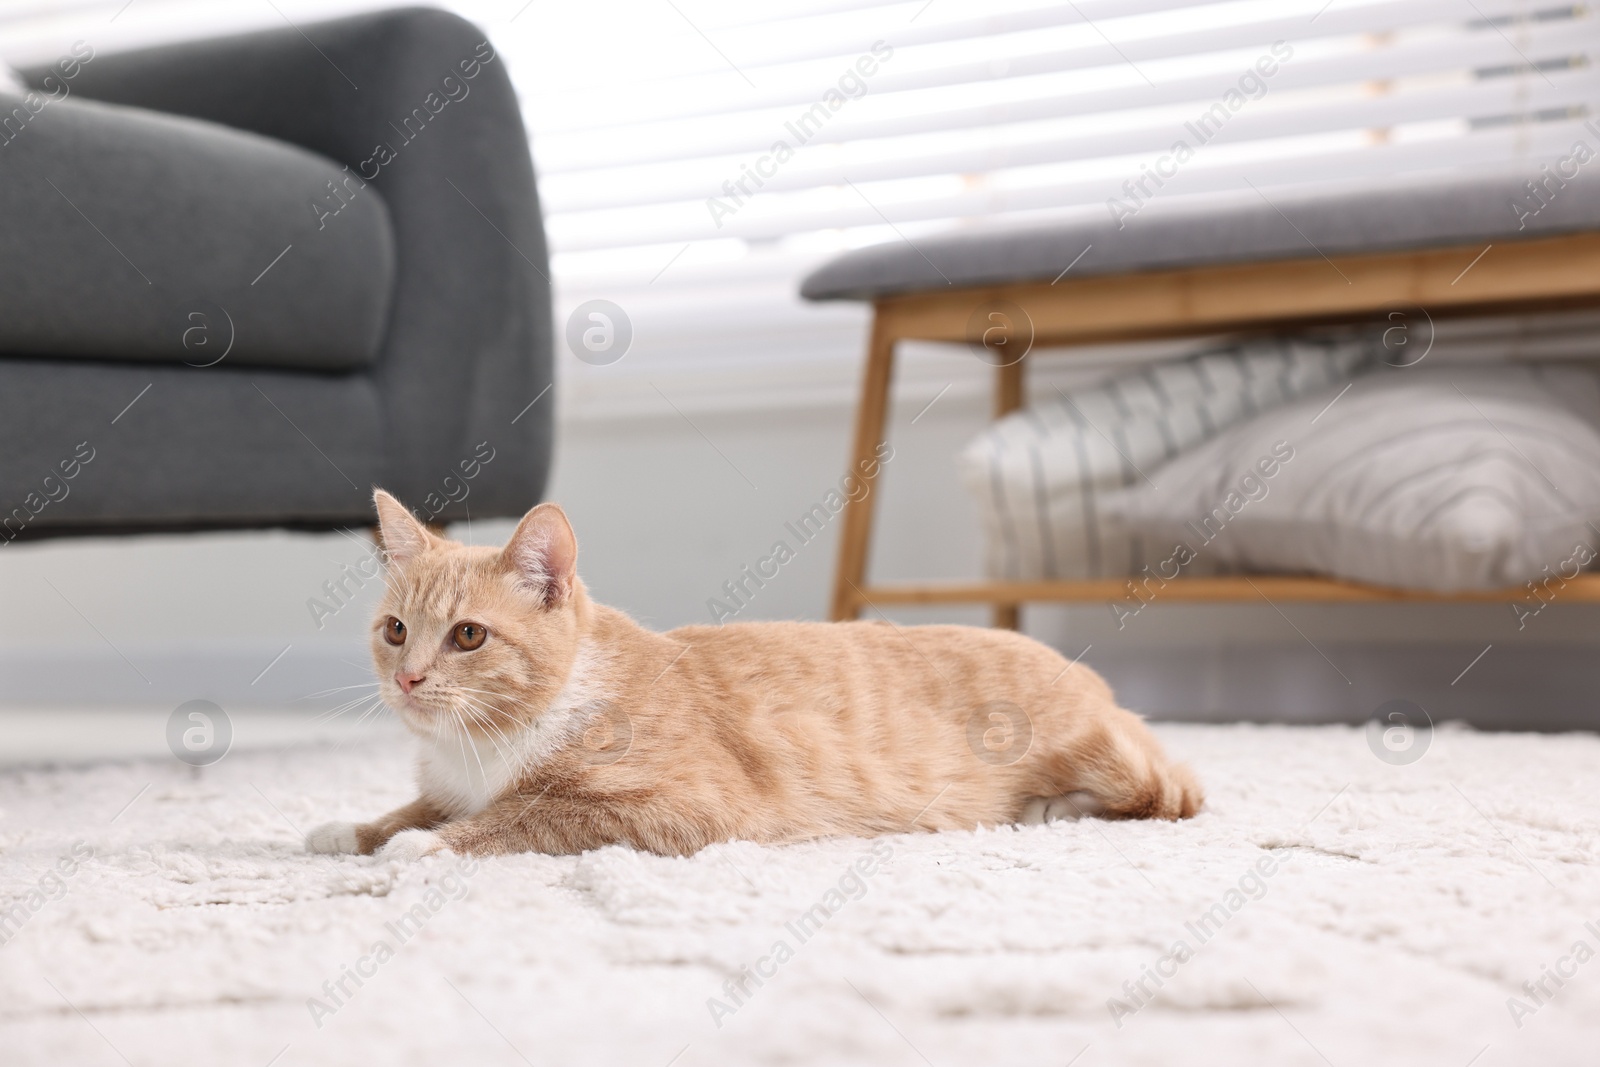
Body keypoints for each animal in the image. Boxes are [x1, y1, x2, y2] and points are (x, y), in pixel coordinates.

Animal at [302, 492, 1203, 857]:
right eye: (395, 631)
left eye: (468, 636)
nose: (408, 681)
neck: (487, 745)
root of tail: (1088, 679)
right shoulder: (451, 781)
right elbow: (415, 804)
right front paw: (354, 827)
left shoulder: (685, 808)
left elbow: (528, 815)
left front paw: (424, 844)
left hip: (1107, 758)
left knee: (1171, 792)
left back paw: (1052, 808)